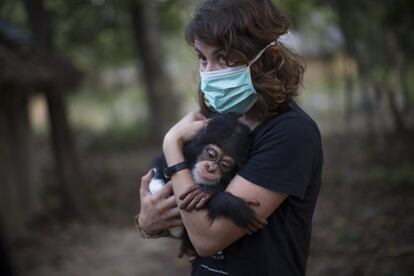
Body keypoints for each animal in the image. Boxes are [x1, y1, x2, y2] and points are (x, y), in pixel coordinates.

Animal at [150, 113, 266, 256]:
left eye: (224, 165)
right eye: (210, 154)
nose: (211, 168)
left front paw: (208, 190)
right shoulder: (164, 167)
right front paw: (233, 205)